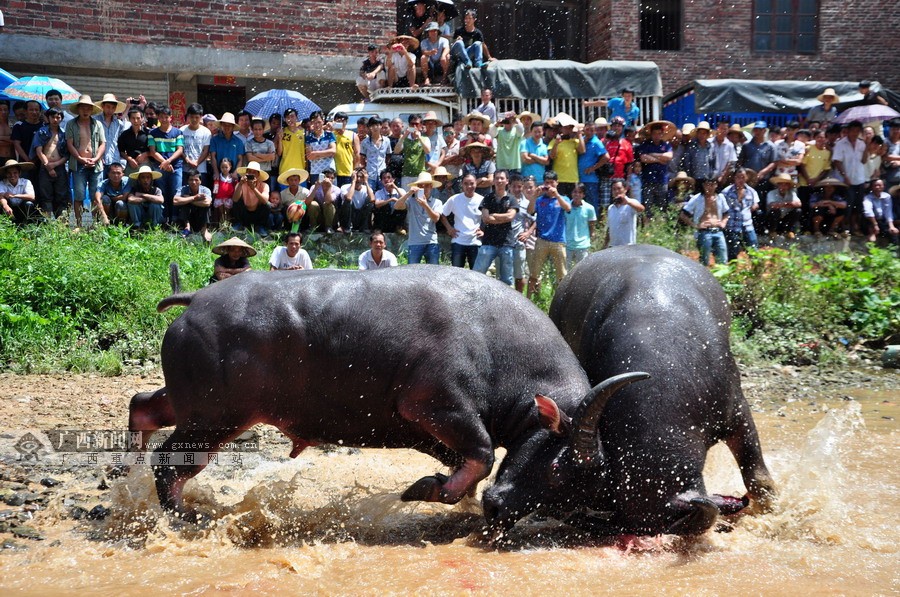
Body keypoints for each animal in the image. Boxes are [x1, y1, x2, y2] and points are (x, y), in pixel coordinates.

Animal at [128, 264, 648, 528]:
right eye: (561, 470)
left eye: (577, 488)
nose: (499, 513)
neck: (496, 342)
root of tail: (196, 299)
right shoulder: (436, 407)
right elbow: (481, 452)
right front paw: (428, 489)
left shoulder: (429, 429)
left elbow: (466, 460)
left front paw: (448, 490)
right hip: (216, 418)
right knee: (170, 463)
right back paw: (185, 515)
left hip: (194, 406)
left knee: (143, 406)